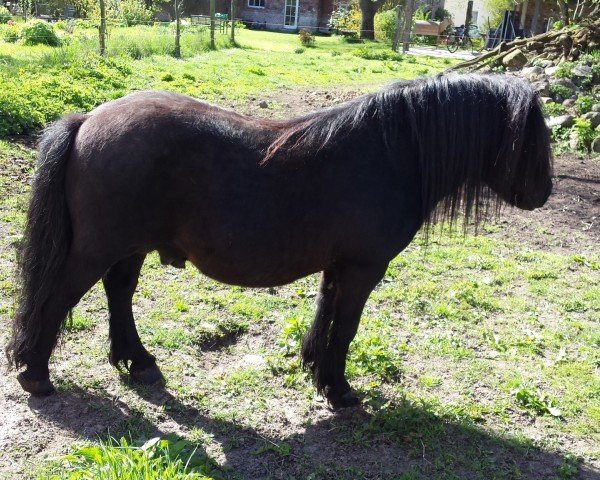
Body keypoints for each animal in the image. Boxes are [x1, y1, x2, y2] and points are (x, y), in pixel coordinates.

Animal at [7, 75, 552, 408]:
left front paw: (315, 367)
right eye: (534, 137)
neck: (390, 153)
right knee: (55, 299)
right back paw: (37, 373)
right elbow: (346, 327)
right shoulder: (363, 268)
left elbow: (326, 316)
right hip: (96, 249)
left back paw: (137, 362)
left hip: (129, 246)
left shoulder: (340, 266)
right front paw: (339, 390)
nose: (543, 192)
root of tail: (87, 121)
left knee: (118, 293)